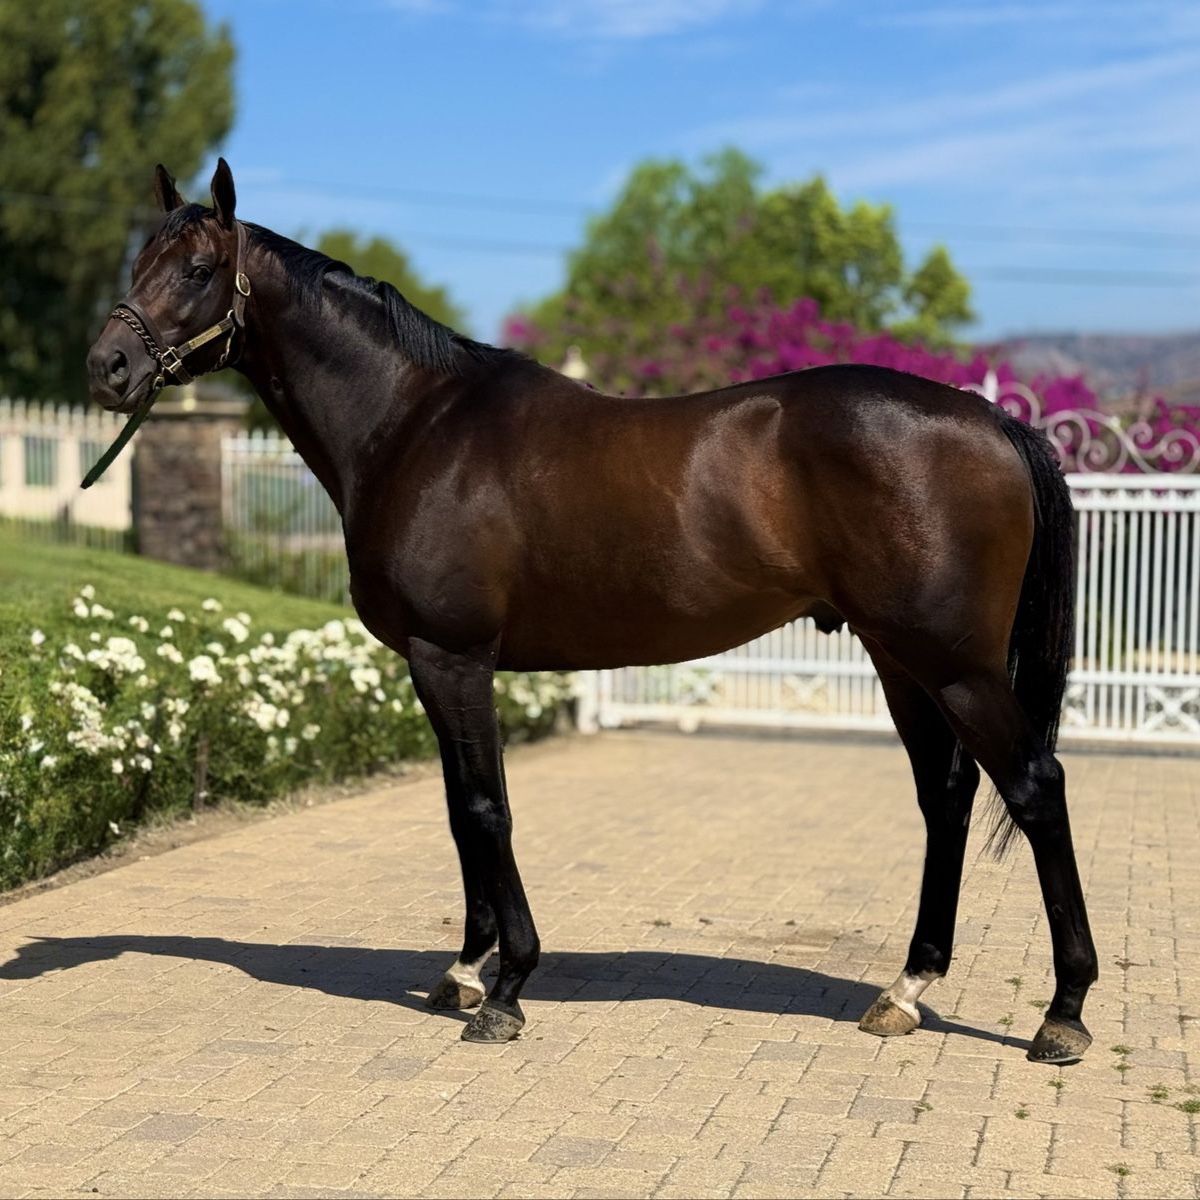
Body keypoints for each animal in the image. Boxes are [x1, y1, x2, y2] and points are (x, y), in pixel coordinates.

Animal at [86, 160, 1097, 1064]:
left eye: (198, 269)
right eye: (137, 262)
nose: (109, 367)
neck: (416, 425)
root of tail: (988, 420)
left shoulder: (453, 657)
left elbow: (486, 808)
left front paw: (506, 988)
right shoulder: (431, 663)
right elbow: (457, 809)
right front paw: (463, 970)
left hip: (955, 665)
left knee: (1034, 787)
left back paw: (1063, 1015)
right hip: (901, 661)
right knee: (948, 797)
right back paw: (907, 989)